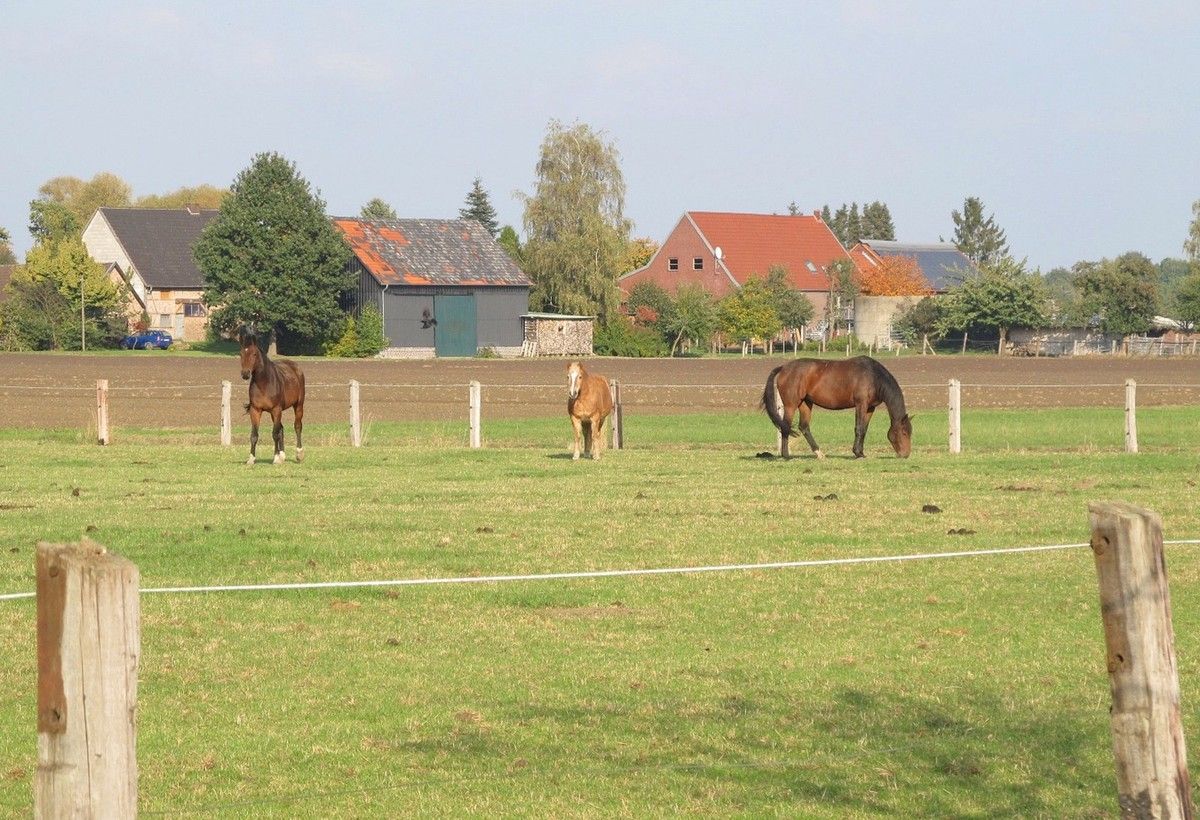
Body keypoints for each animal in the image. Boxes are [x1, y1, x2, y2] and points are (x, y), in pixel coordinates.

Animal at [238, 327, 306, 465]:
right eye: (241, 354)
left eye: (254, 354)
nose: (245, 374)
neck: (264, 383)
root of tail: (295, 367)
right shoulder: (256, 410)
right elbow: (254, 435)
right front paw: (251, 459)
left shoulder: (276, 409)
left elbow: (274, 434)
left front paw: (275, 459)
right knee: (281, 429)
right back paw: (283, 455)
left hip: (298, 405)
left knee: (297, 426)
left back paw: (299, 454)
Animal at [761, 356, 912, 459]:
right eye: (904, 432)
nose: (905, 454)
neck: (873, 376)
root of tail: (784, 367)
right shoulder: (861, 404)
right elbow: (859, 428)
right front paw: (857, 453)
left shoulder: (870, 408)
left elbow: (864, 429)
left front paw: (861, 453)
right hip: (791, 405)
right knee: (785, 426)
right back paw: (786, 455)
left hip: (805, 403)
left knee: (804, 427)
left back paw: (819, 453)